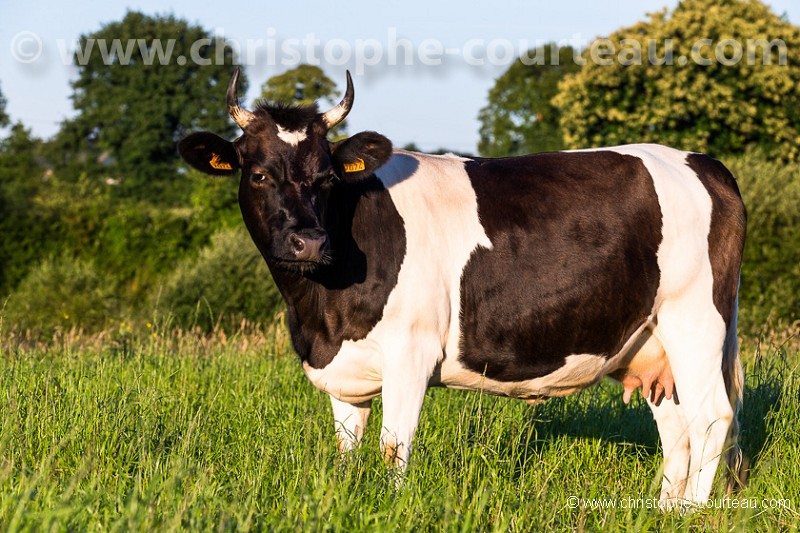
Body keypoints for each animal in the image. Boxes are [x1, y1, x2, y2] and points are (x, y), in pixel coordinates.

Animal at [178, 68, 748, 504]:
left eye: (328, 178)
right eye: (258, 174)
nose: (309, 242)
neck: (319, 314)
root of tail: (702, 162)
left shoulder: (412, 350)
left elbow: (393, 446)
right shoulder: (343, 370)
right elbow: (347, 453)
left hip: (696, 321)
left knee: (712, 417)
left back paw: (692, 512)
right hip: (653, 345)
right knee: (677, 429)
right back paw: (665, 511)